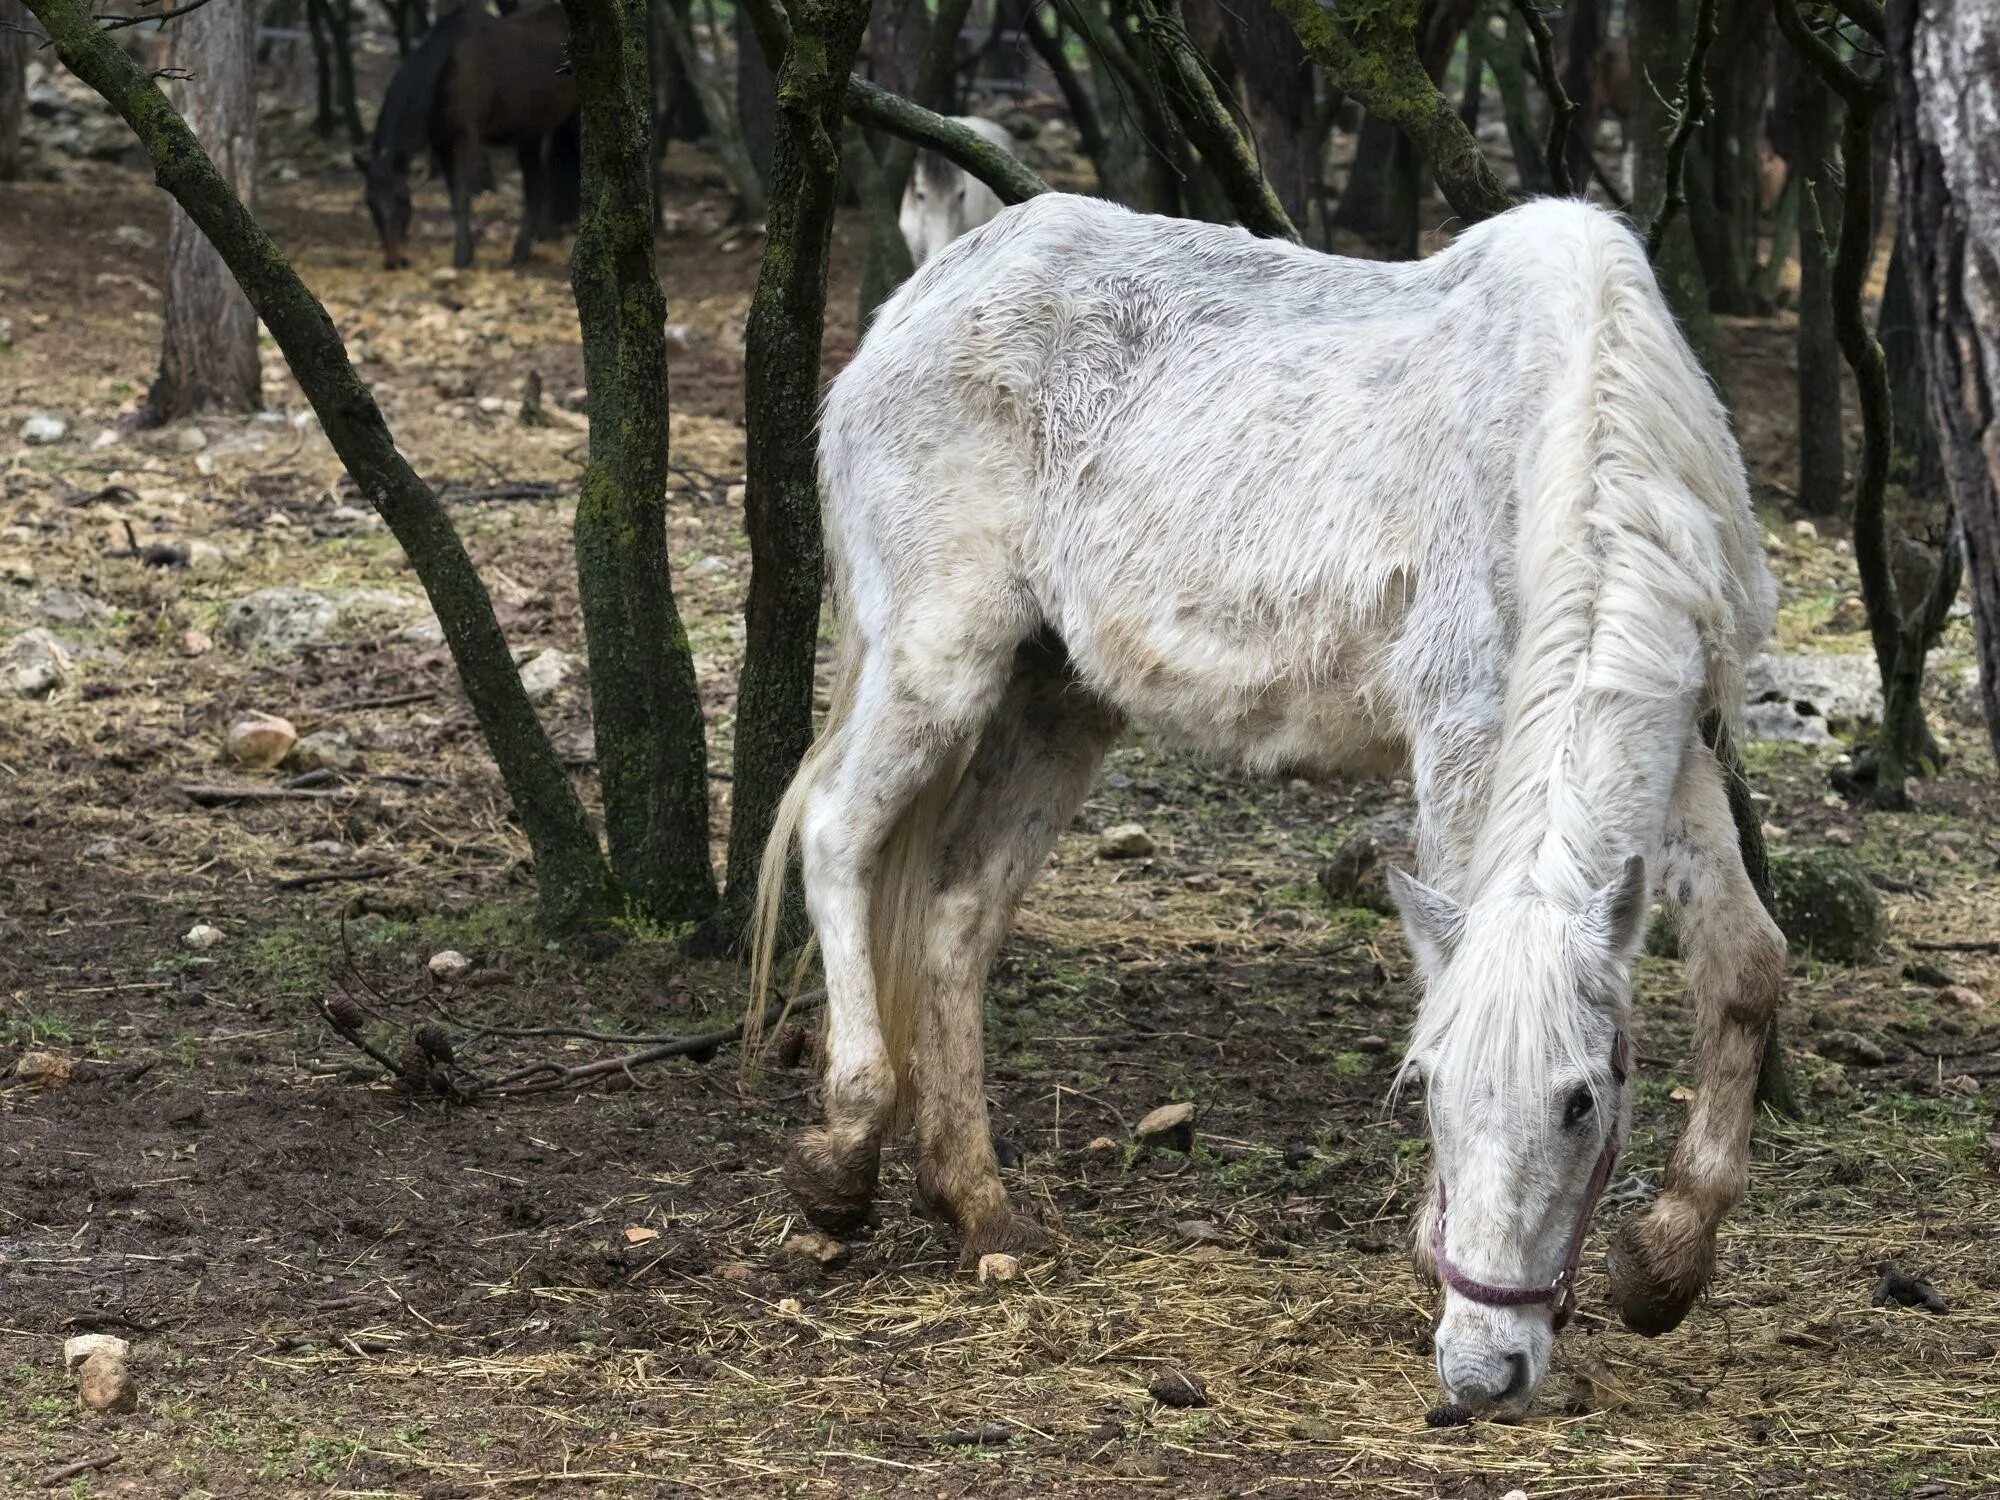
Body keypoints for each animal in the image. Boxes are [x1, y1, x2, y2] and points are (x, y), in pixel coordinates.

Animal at [358, 3, 580, 270]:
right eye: (369, 202)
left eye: (403, 199)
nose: (394, 261)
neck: (445, 70)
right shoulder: (440, 143)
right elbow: (454, 196)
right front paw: (468, 252)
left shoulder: (466, 136)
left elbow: (464, 195)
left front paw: (462, 257)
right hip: (533, 134)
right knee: (538, 185)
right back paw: (529, 247)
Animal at [752, 197, 1784, 1424]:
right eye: (1429, 1089)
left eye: (1581, 1102)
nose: (1482, 1372)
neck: (1570, 433)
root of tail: (916, 303)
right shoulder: (1460, 731)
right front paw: (1431, 1242)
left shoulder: (1677, 746)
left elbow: (1745, 963)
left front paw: (1669, 1261)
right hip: (937, 663)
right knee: (838, 837)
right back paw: (842, 1154)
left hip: (1056, 700)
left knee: (956, 913)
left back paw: (983, 1212)